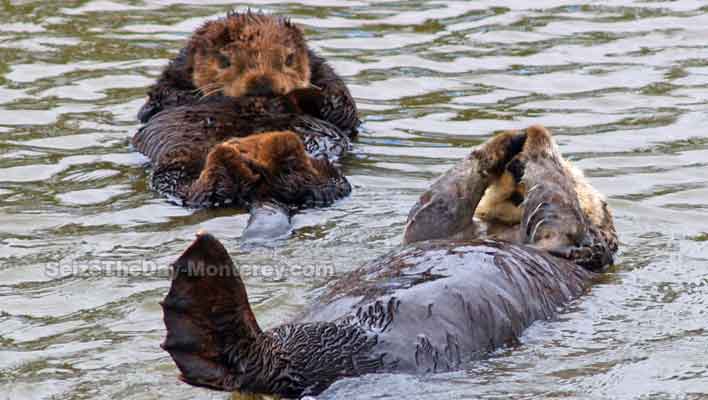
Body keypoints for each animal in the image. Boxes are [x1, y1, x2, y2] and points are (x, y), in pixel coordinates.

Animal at [159, 125, 612, 396]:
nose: (515, 170)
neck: (503, 232)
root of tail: (275, 362)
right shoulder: (445, 229)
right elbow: (433, 211)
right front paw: (508, 141)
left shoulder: (568, 241)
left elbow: (557, 203)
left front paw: (537, 143)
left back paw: (204, 270)